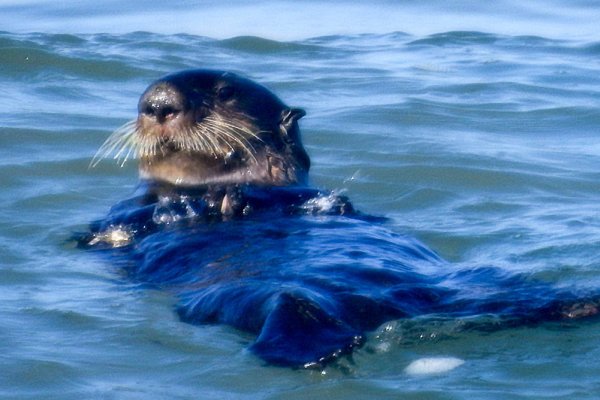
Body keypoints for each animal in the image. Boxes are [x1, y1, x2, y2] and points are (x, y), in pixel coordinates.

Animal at [81, 69, 600, 368]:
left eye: (224, 91)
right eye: (144, 99)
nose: (158, 103)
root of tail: (397, 311)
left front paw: (237, 198)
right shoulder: (117, 220)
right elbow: (121, 230)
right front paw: (216, 203)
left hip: (484, 285)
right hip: (261, 300)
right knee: (297, 311)